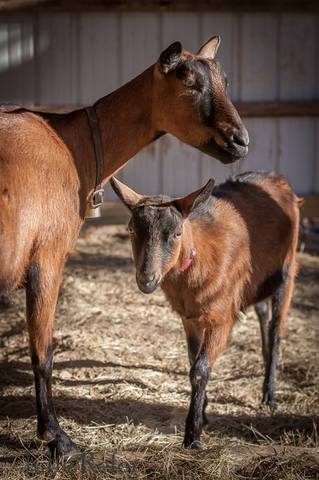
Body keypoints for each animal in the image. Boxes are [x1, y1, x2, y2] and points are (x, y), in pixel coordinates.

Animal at [0, 37, 249, 458]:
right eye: (189, 82)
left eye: (225, 81)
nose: (240, 141)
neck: (72, 144)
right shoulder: (46, 257)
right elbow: (43, 351)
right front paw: (57, 438)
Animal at [111, 171, 302, 448]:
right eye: (132, 229)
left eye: (177, 233)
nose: (147, 279)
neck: (198, 257)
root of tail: (276, 178)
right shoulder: (189, 318)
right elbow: (193, 360)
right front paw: (202, 409)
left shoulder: (221, 318)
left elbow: (200, 369)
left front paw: (193, 434)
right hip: (257, 280)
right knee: (263, 314)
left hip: (286, 272)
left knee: (276, 331)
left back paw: (270, 394)